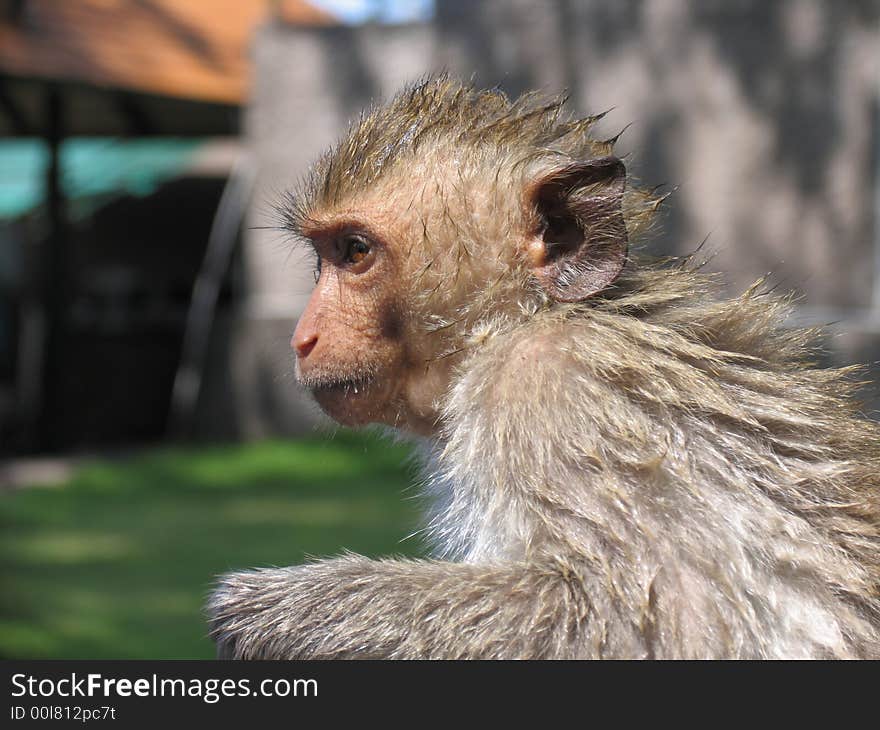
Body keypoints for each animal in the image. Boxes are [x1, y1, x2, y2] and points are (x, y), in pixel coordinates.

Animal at [206, 77, 880, 656]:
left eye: (353, 251)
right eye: (325, 255)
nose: (302, 337)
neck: (521, 322)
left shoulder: (558, 394)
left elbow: (622, 620)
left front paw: (274, 610)